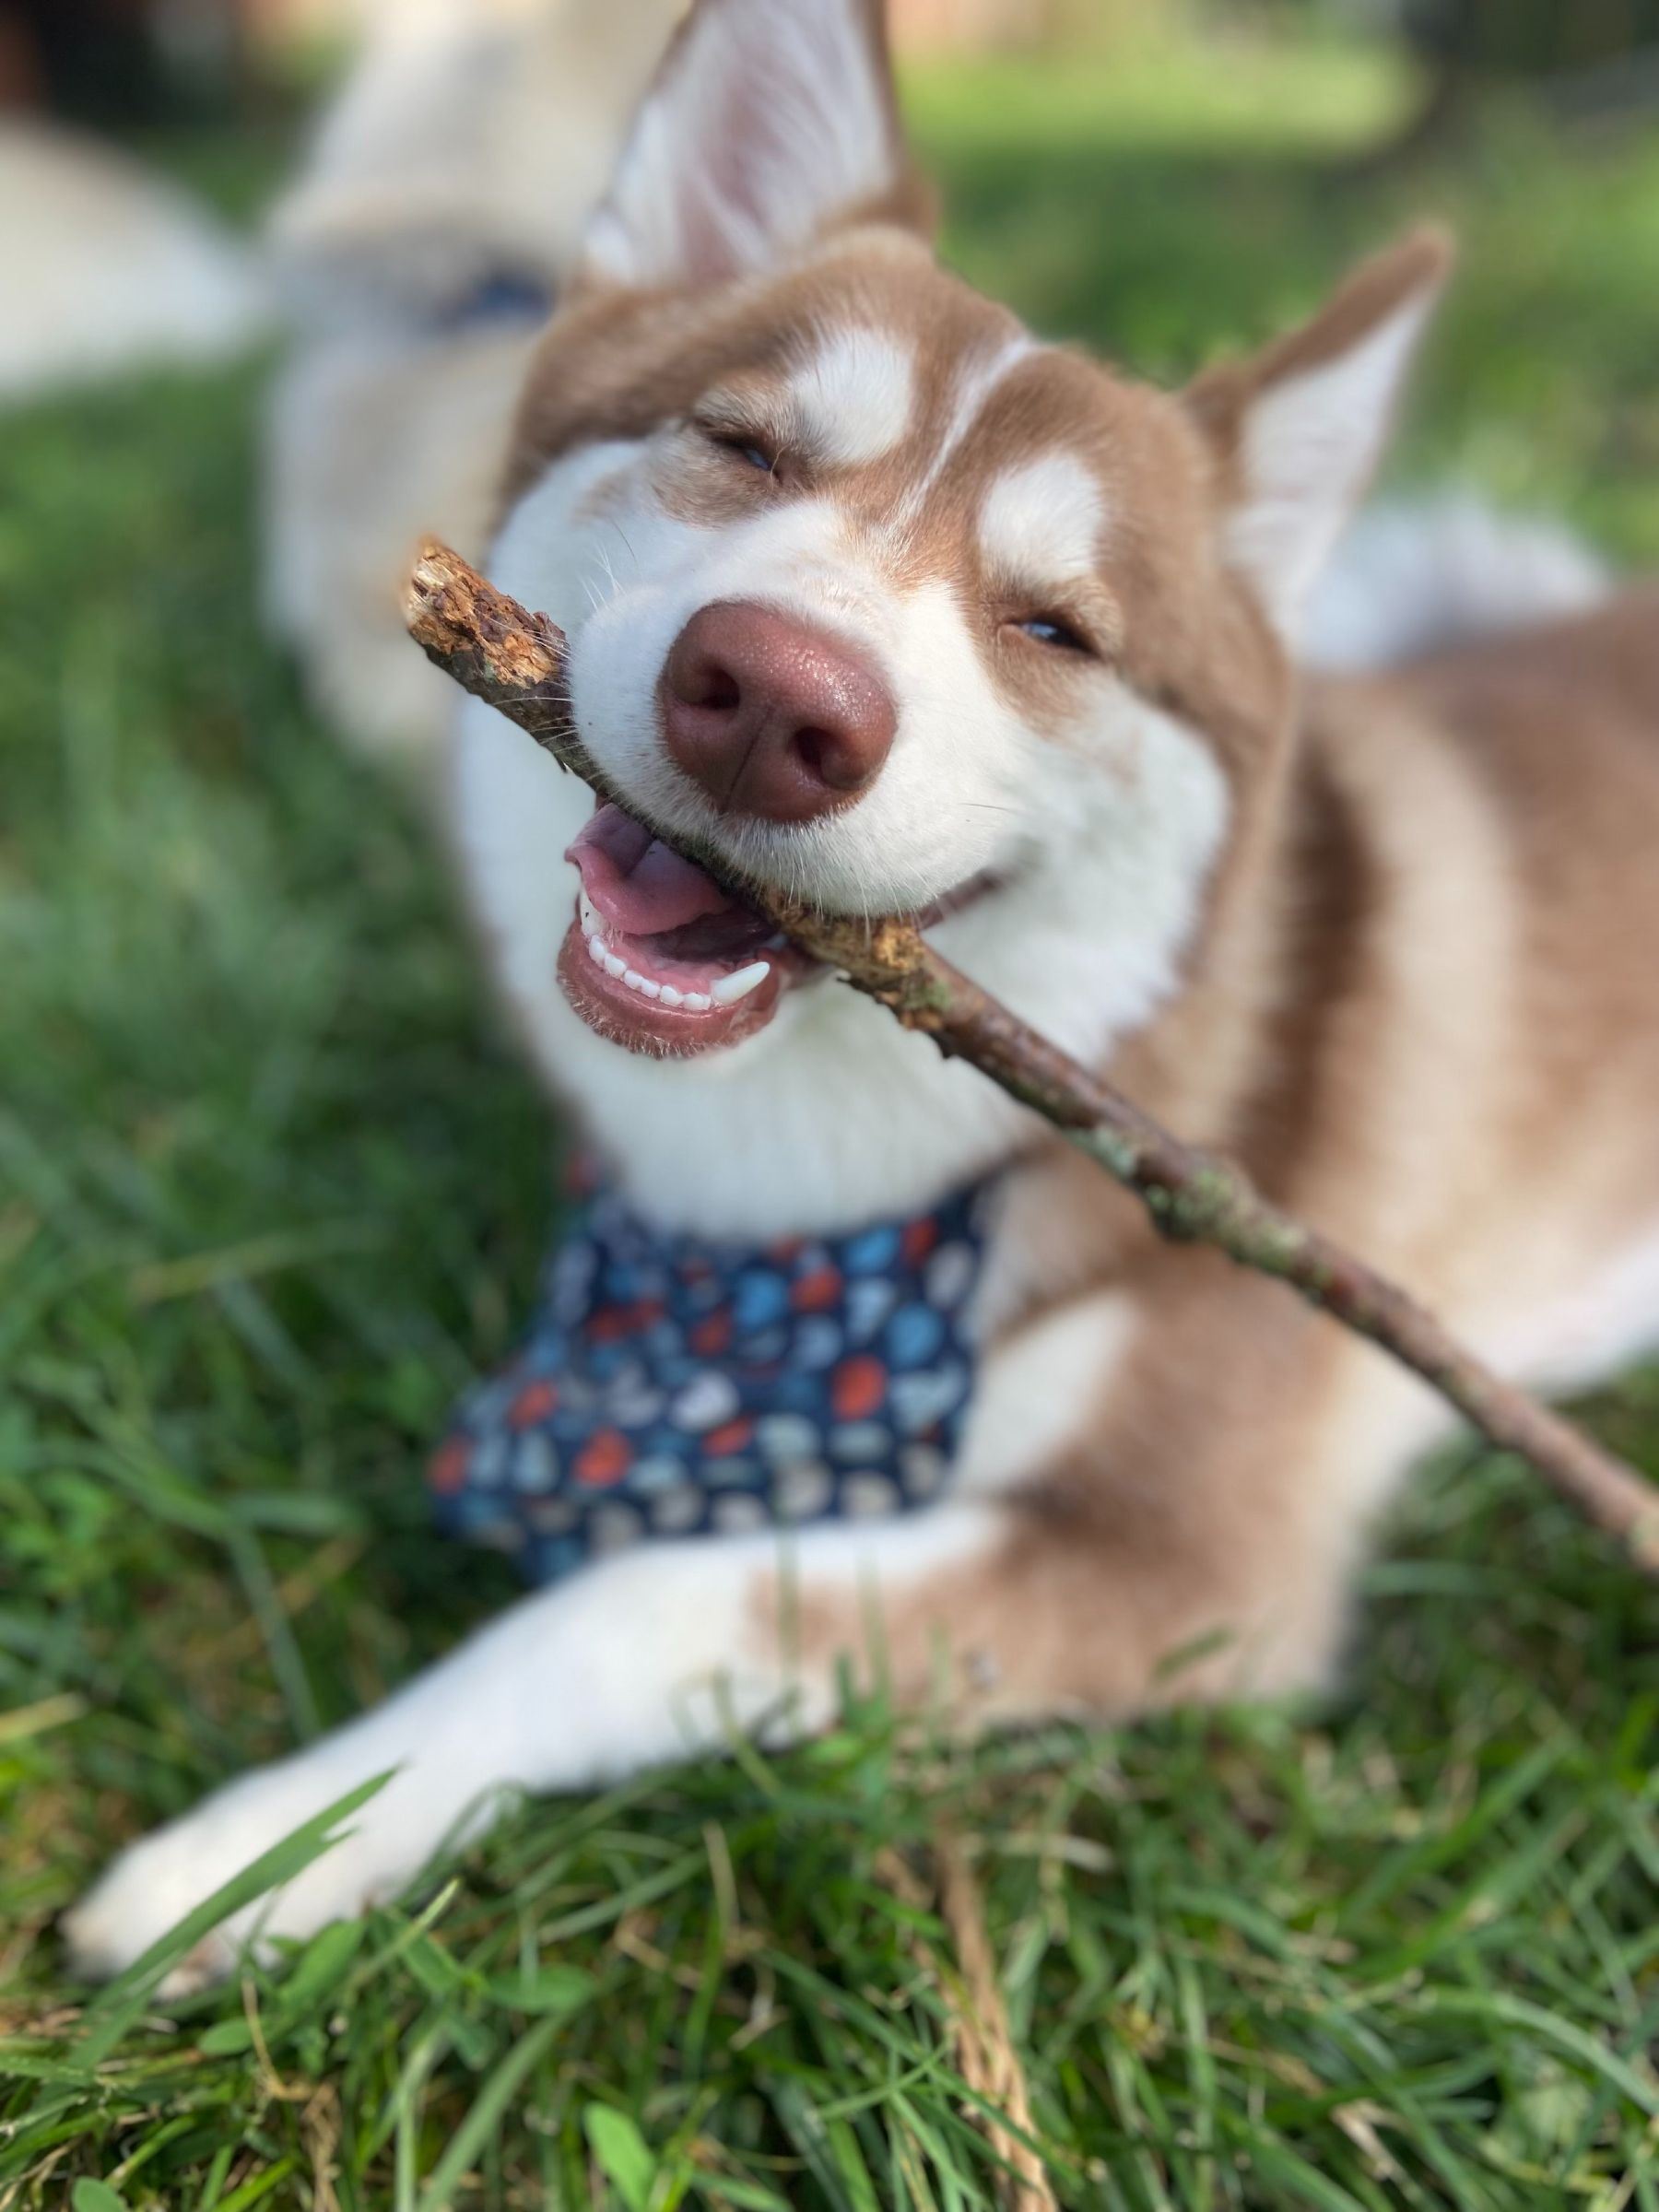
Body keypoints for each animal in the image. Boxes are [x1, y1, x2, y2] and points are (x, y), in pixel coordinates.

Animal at [71, 0, 1659, 1972]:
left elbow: (633, 1604)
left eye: (1056, 628)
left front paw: (270, 1844)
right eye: (744, 447)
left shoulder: (1182, 1563)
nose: (772, 699)